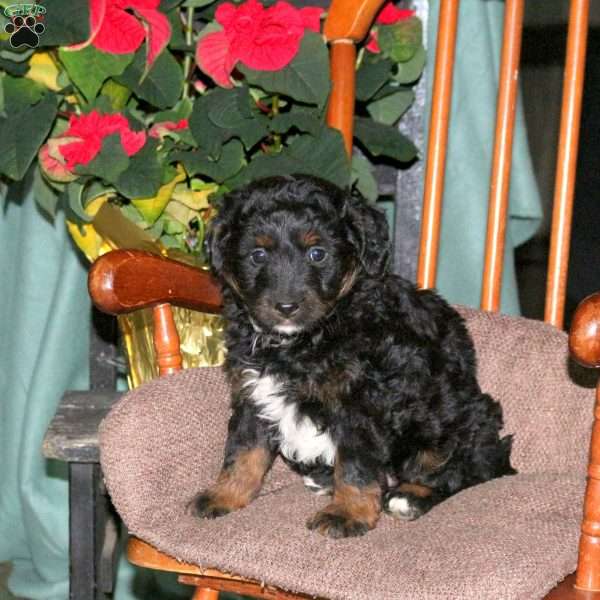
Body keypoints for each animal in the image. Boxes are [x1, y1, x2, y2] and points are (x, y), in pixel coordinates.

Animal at [193, 173, 516, 540]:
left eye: (318, 253)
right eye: (257, 255)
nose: (286, 306)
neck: (305, 341)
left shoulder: (360, 404)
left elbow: (356, 465)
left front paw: (347, 513)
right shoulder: (252, 392)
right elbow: (243, 451)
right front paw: (223, 495)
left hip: (457, 418)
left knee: (463, 469)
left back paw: (409, 497)